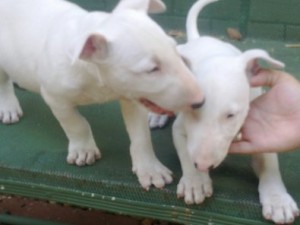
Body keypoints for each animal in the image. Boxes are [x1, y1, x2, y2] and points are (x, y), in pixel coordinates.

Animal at [0, 0, 206, 190]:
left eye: (175, 50)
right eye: (152, 69)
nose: (201, 101)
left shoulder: (132, 96)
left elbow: (141, 135)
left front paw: (150, 169)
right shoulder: (55, 97)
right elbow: (75, 123)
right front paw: (83, 150)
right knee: (3, 81)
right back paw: (9, 108)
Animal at [149, 0, 298, 223]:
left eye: (231, 115)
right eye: (193, 109)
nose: (203, 165)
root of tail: (198, 39)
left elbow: (270, 163)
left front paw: (278, 200)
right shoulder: (180, 128)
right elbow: (185, 152)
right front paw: (195, 181)